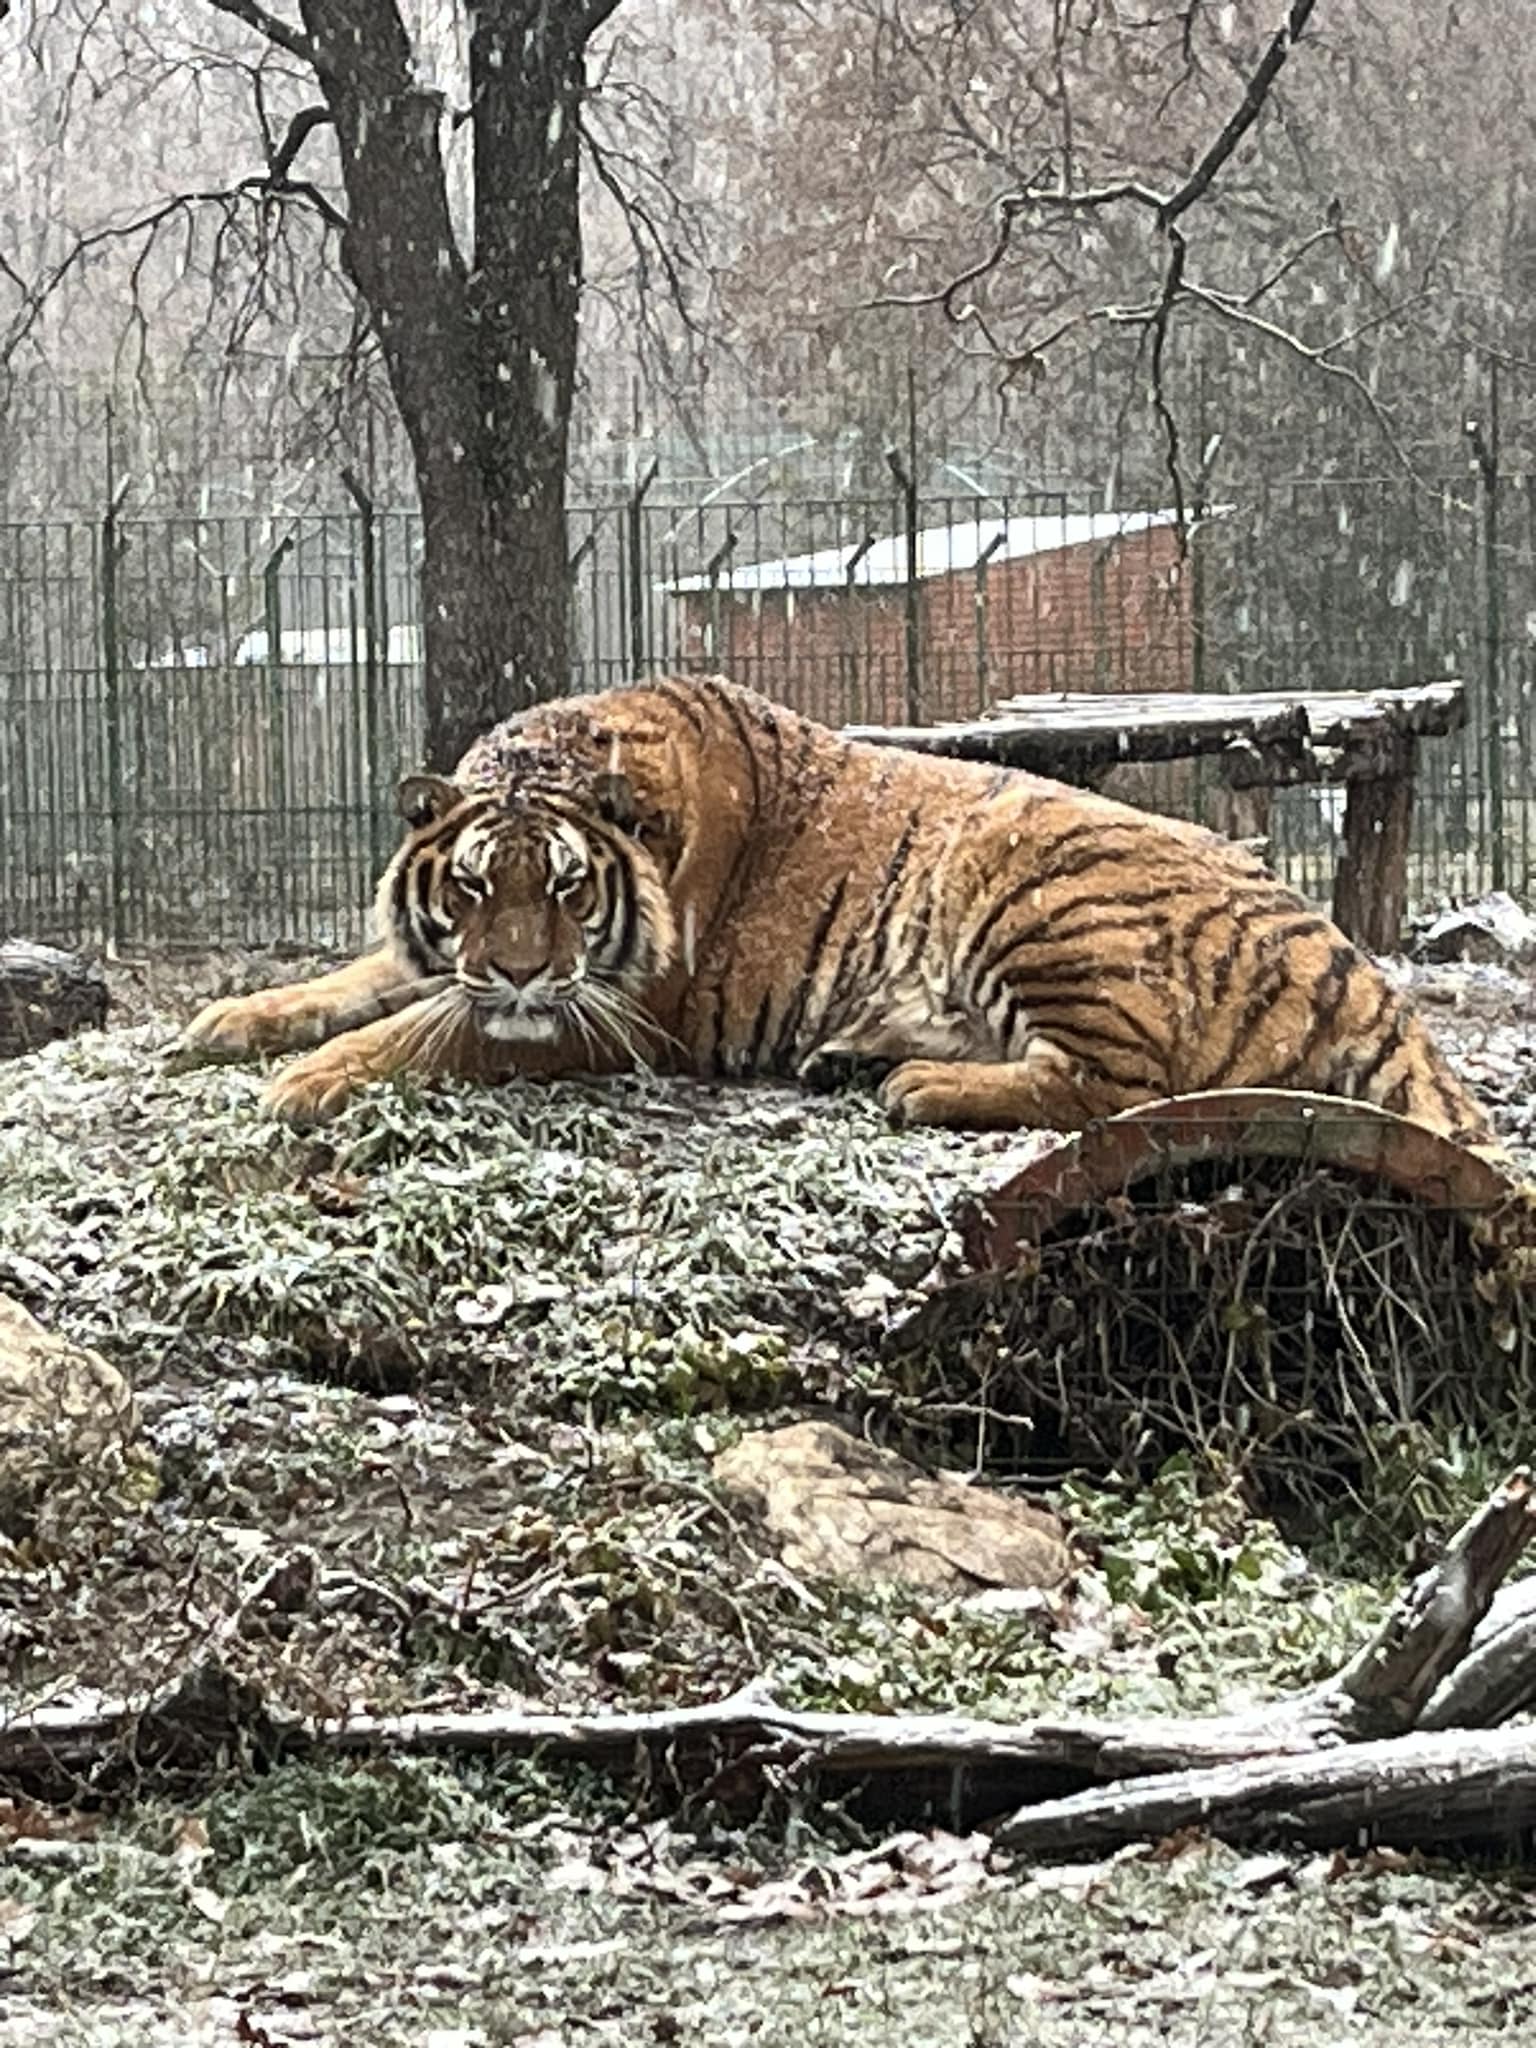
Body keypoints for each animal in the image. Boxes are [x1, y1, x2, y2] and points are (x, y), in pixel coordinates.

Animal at [174, 671, 1499, 1155]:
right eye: (469, 887)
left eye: (566, 887)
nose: (512, 972)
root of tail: (1352, 960)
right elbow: (359, 981)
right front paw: (230, 1021)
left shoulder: (617, 1015)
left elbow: (422, 1030)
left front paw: (308, 1079)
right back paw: (855, 1055)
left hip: (1032, 883)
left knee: (1125, 1089)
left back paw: (918, 1083)